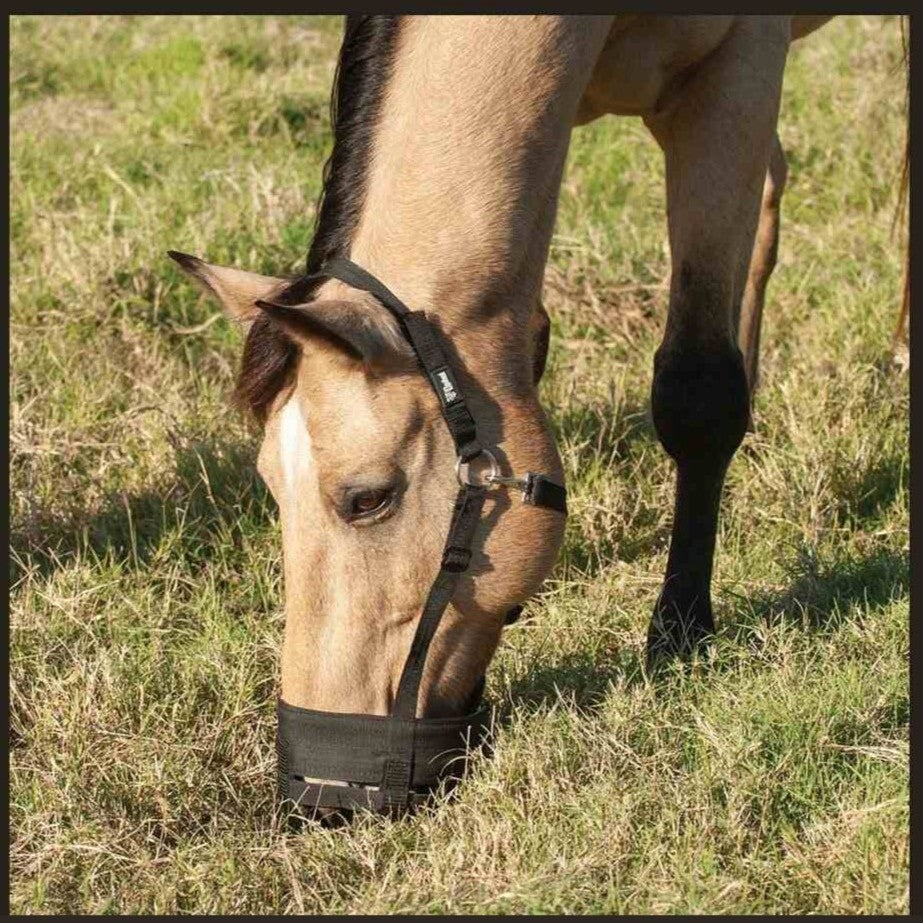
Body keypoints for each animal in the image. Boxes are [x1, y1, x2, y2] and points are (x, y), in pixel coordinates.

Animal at [168, 15, 903, 812]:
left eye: (366, 498)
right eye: (270, 488)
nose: (320, 785)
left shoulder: (734, 74)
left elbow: (697, 392)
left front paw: (680, 631)